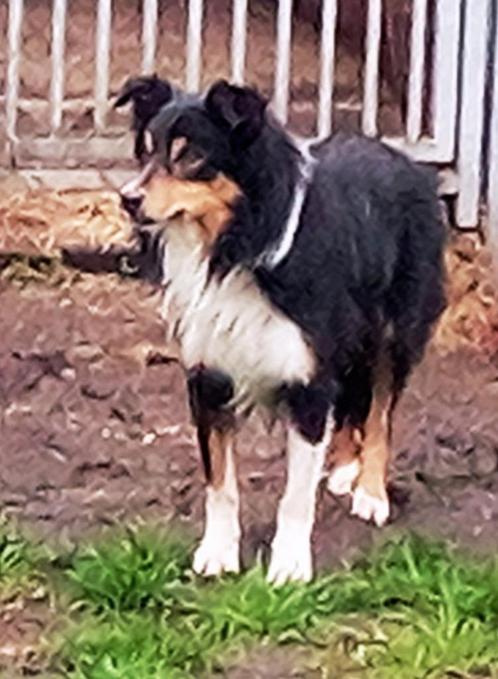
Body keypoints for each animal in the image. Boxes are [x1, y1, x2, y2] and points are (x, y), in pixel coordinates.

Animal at [115, 74, 446, 584]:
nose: (128, 199)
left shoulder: (308, 380)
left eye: (191, 156)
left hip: (396, 331)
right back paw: (344, 467)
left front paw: (289, 566)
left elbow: (295, 494)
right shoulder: (208, 377)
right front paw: (218, 553)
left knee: (380, 411)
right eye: (147, 151)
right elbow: (220, 482)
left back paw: (370, 491)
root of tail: (405, 160)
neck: (235, 246)